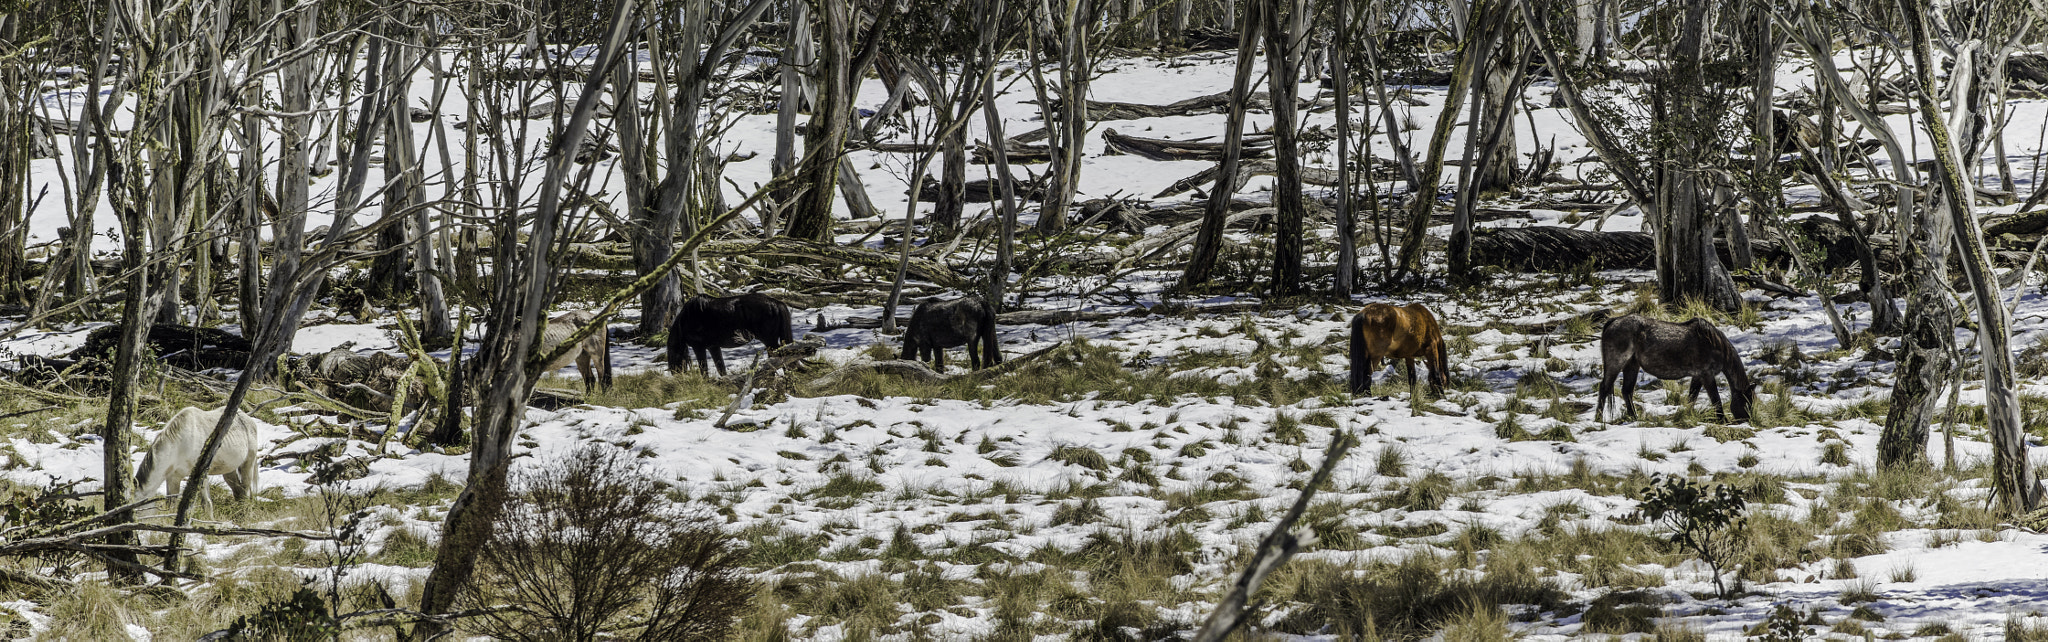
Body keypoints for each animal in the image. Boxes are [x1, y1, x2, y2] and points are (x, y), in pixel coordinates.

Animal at [1589, 311, 1753, 422]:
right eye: (1747, 402)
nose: (1748, 420)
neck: (1714, 344)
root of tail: (1613, 321)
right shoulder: (1707, 375)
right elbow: (1715, 399)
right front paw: (1722, 420)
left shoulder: (1698, 376)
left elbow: (1692, 397)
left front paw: (1686, 415)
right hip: (1616, 363)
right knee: (1604, 388)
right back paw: (1598, 419)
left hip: (1632, 365)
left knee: (1627, 391)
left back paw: (1635, 417)